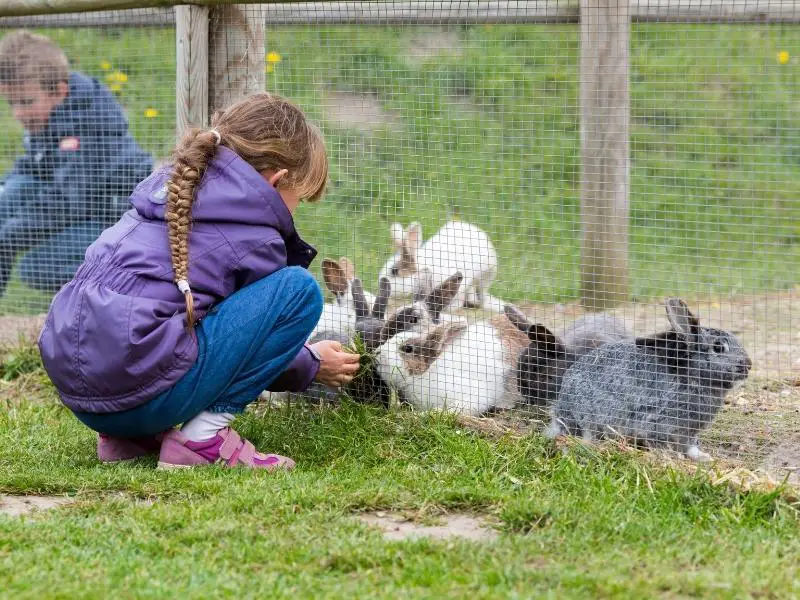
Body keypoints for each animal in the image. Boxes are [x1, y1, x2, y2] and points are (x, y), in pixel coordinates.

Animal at [548, 298, 752, 462]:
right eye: (718, 348)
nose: (748, 365)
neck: (693, 375)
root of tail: (562, 411)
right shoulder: (657, 421)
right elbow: (658, 440)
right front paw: (671, 456)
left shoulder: (688, 431)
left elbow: (690, 447)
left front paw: (703, 457)